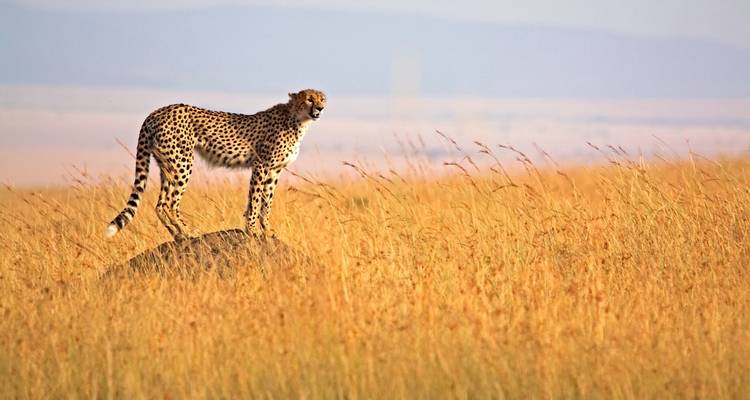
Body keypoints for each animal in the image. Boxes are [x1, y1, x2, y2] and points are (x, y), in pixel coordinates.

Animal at [105, 89, 326, 240]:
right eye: (309, 98)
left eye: (322, 98)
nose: (320, 108)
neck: (297, 119)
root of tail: (157, 111)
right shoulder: (261, 165)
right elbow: (255, 200)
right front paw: (252, 230)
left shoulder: (274, 170)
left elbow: (266, 202)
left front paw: (267, 230)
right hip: (183, 162)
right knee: (170, 202)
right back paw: (189, 231)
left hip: (167, 164)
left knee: (160, 204)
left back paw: (177, 235)